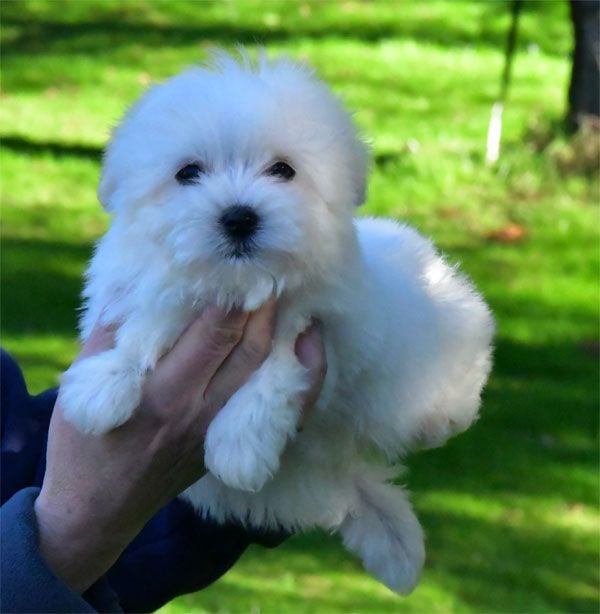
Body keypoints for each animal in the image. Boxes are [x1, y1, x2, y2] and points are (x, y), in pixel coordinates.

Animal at [59, 54, 492, 596]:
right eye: (188, 173)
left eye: (283, 170)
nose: (239, 217)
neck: (237, 286)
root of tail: (338, 472)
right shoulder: (150, 289)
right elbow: (140, 327)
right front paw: (103, 383)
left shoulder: (319, 325)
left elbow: (278, 368)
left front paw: (237, 445)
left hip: (443, 336)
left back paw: (442, 418)